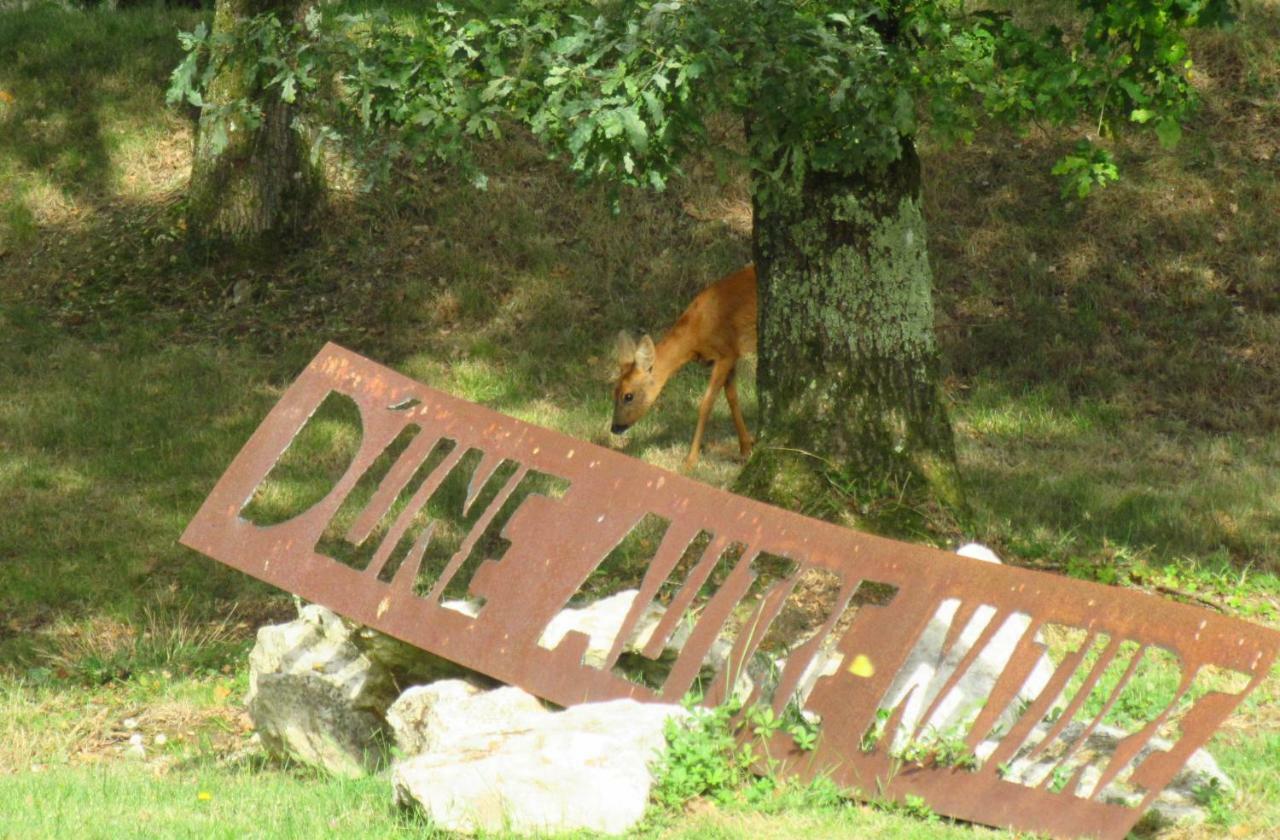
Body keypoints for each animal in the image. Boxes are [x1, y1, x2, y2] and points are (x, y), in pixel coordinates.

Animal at [606, 266, 747, 468]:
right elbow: (732, 399)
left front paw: (690, 460)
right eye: (613, 392)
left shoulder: (726, 353)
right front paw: (746, 447)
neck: (695, 335)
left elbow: (706, 404)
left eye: (628, 396)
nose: (614, 427)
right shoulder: (729, 356)